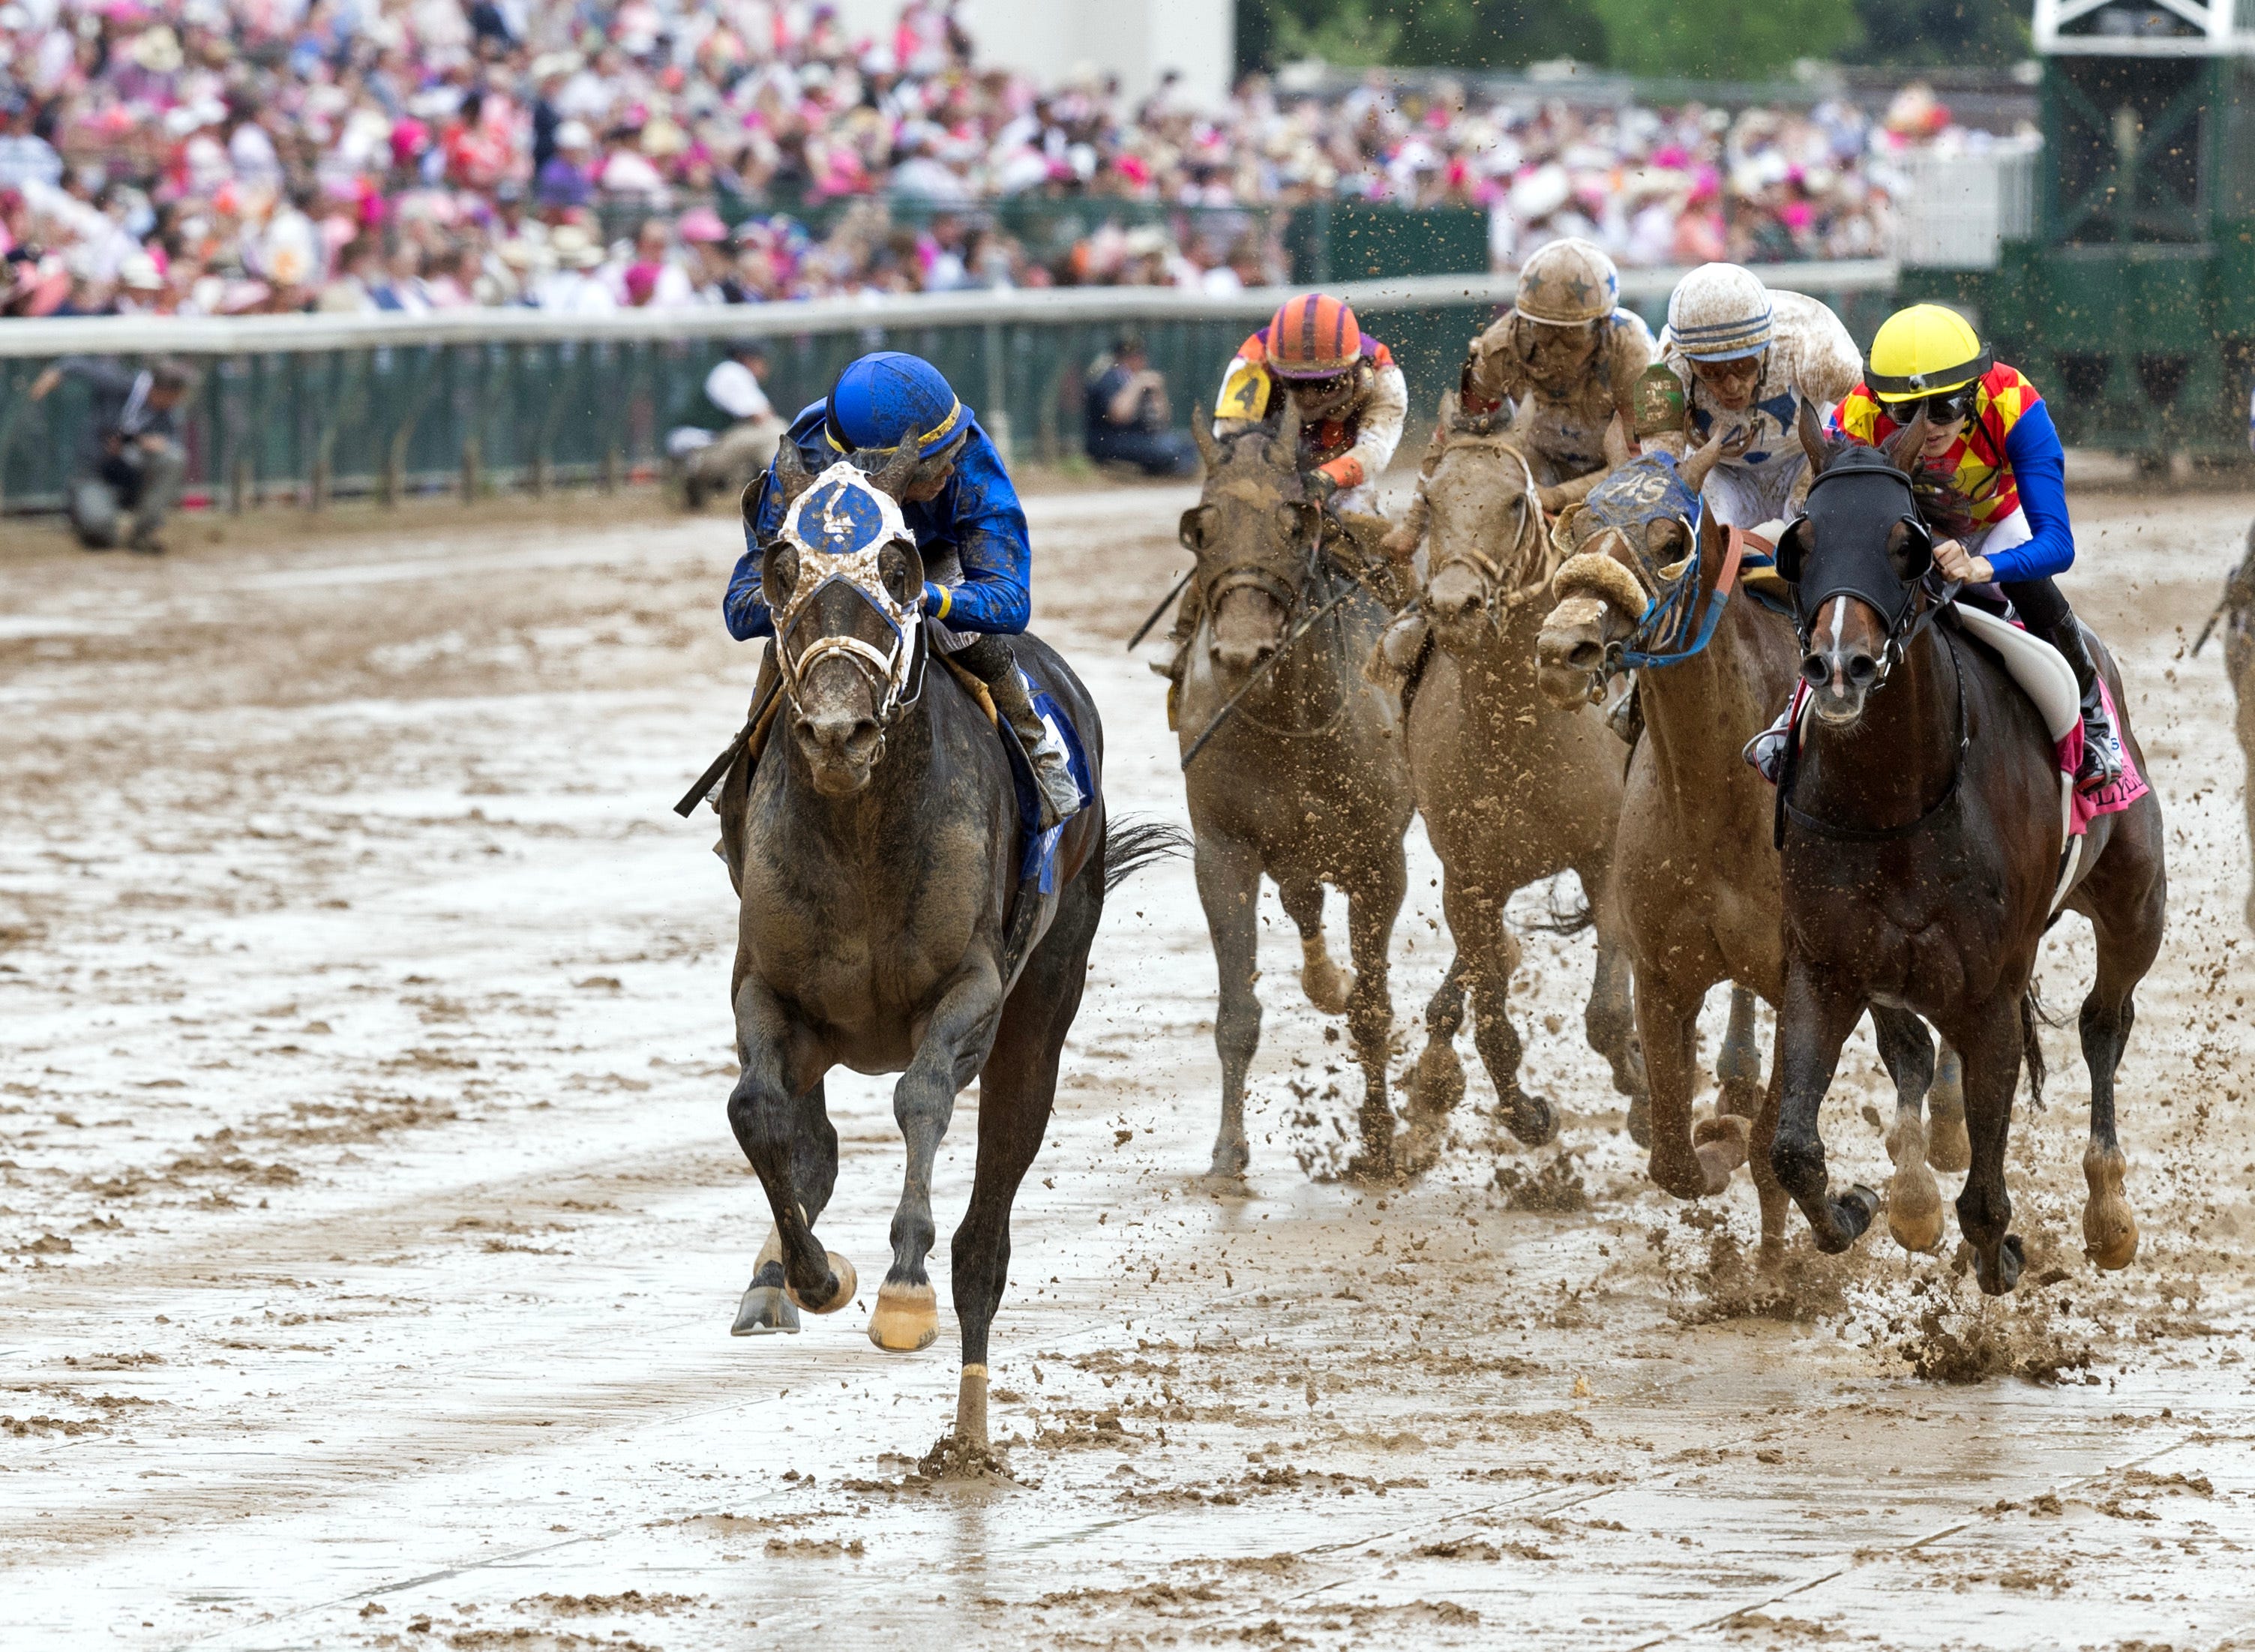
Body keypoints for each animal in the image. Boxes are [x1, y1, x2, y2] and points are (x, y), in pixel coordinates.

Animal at [1181, 419, 1407, 1180]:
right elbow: (1236, 1014)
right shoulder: (1223, 849)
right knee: (1303, 898)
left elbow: (1371, 1009)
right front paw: (1227, 1150)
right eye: (1200, 527)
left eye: (1292, 522)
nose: (1241, 651)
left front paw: (1378, 1139)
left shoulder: (1378, 858)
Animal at [1389, 400, 1642, 1153]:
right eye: (1432, 501)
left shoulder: (1606, 856)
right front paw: (1525, 1110)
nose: (1454, 605)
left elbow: (1608, 1014)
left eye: (1511, 503)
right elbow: (1492, 1017)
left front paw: (1645, 1095)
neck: (1518, 737)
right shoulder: (1468, 877)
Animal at [1777, 412, 2164, 1289]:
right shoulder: (1826, 966)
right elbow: (1794, 1151)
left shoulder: (1990, 989)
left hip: (2135, 899)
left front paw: (2001, 1257)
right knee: (1913, 1050)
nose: (1840, 666)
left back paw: (2109, 1212)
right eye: (1800, 542)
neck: (1893, 799)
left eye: (1906, 544)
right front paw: (1862, 1205)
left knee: (2103, 1021)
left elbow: (1986, 1201)